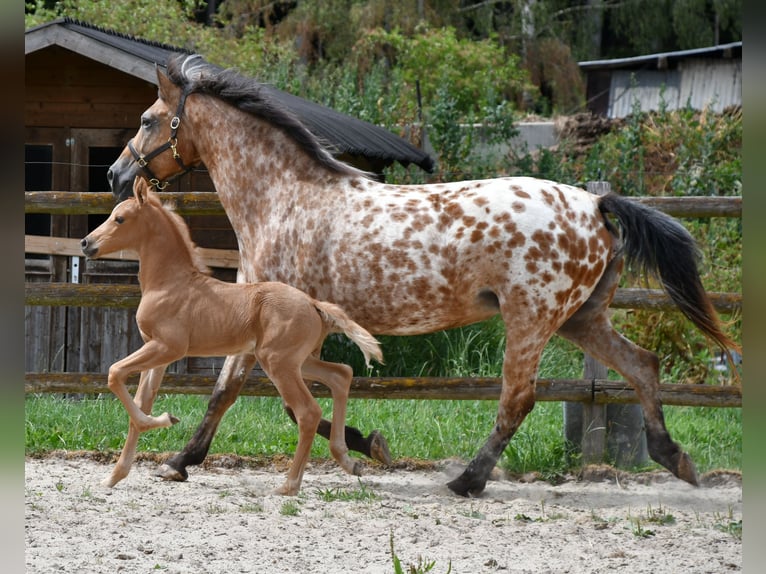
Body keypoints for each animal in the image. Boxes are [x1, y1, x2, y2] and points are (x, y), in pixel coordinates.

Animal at [81, 177, 383, 495]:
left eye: (120, 218)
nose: (86, 243)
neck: (169, 283)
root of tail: (314, 304)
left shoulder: (168, 348)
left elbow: (114, 373)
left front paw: (165, 420)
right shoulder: (157, 355)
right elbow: (139, 406)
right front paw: (115, 475)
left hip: (278, 362)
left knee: (308, 412)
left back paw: (288, 485)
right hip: (299, 361)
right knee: (341, 374)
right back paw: (348, 459)